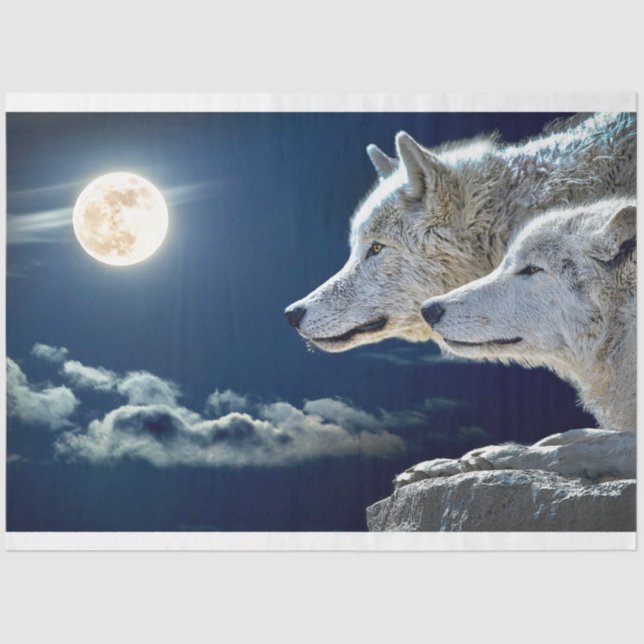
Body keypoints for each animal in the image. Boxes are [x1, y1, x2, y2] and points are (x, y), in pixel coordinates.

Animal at [393, 198, 636, 487]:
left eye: (532, 269)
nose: (428, 309)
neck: (627, 326)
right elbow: (580, 435)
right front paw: (442, 465)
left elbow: (580, 448)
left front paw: (501, 455)